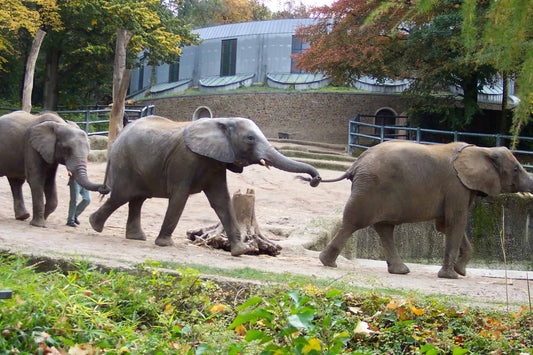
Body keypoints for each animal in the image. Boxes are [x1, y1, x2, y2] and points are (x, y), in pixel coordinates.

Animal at [90, 115, 320, 258]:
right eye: (249, 138)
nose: (315, 179)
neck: (222, 121)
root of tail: (118, 137)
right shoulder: (184, 159)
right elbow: (179, 197)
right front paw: (165, 244)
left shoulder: (216, 163)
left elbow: (222, 201)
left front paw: (241, 251)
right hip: (125, 163)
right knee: (122, 195)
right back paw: (95, 225)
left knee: (136, 198)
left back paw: (136, 237)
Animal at [308, 140, 532, 280]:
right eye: (515, 169)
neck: (482, 150)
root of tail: (356, 163)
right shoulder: (456, 187)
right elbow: (456, 223)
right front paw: (451, 276)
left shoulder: (462, 189)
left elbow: (446, 226)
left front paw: (461, 271)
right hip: (370, 187)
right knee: (354, 222)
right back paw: (328, 263)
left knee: (384, 228)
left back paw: (400, 271)